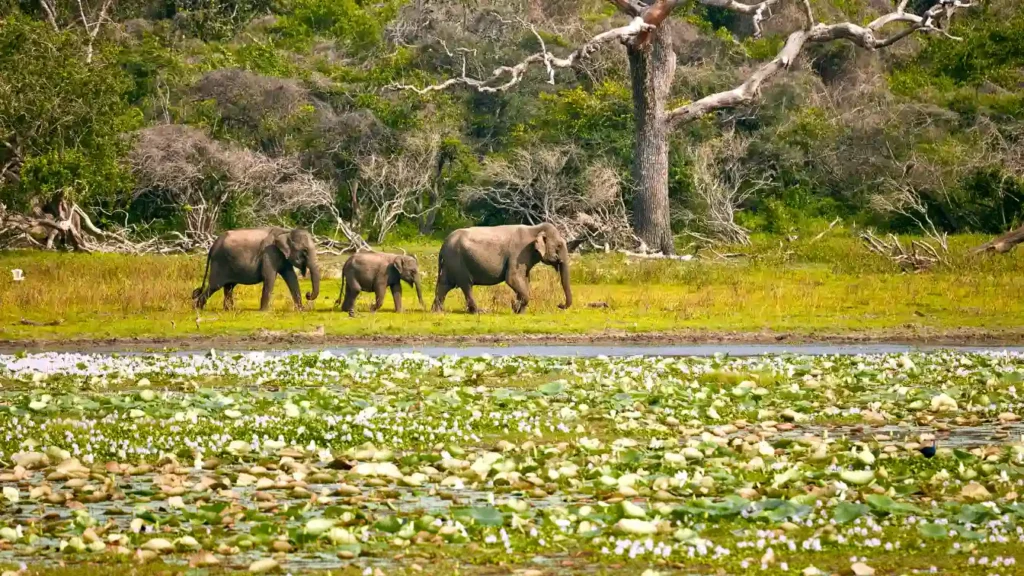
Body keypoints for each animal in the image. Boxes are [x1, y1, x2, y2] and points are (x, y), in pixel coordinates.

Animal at [192, 227, 321, 311]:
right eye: (305, 251)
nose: (308, 294)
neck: (286, 232)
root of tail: (212, 246)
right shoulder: (269, 253)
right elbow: (269, 278)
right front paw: (264, 312)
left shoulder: (283, 256)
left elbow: (291, 277)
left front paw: (301, 310)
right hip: (220, 262)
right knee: (215, 286)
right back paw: (198, 308)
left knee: (229, 287)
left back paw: (229, 310)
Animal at [433, 223, 573, 314]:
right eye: (559, 246)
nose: (560, 305)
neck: (535, 229)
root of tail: (443, 245)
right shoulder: (518, 253)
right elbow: (512, 278)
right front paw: (516, 307)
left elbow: (525, 279)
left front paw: (519, 311)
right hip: (457, 261)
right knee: (466, 285)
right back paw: (479, 312)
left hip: (450, 262)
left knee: (445, 284)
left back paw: (437, 311)